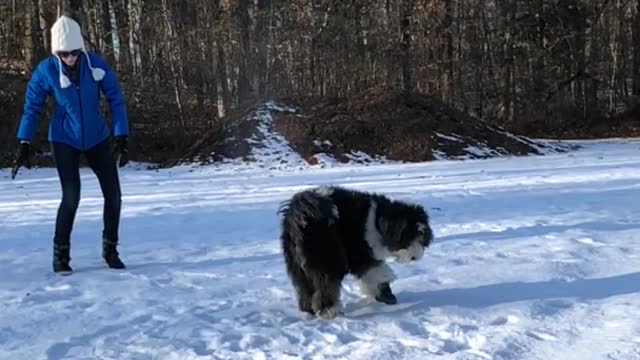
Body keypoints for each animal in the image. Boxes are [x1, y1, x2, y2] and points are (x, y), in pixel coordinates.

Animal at [278, 186, 432, 318]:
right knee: (326, 286)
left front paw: (382, 294)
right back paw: (329, 311)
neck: (377, 222)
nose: (416, 257)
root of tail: (298, 215)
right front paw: (385, 289)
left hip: (297, 265)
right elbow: (378, 271)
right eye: (410, 237)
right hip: (329, 258)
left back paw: (308, 311)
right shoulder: (360, 254)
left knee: (305, 289)